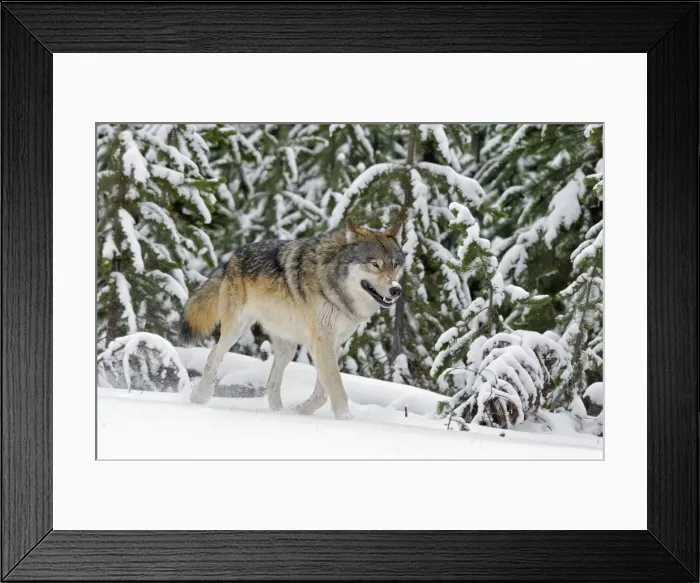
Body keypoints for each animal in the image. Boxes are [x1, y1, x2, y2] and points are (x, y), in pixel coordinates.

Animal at [180, 212, 406, 419]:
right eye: (375, 264)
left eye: (395, 264)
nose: (396, 290)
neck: (333, 284)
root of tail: (232, 257)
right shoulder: (322, 342)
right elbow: (335, 388)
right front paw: (346, 421)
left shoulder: (333, 343)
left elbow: (322, 394)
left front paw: (299, 411)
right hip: (236, 329)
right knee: (214, 354)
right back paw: (200, 396)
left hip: (287, 348)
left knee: (271, 382)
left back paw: (280, 413)